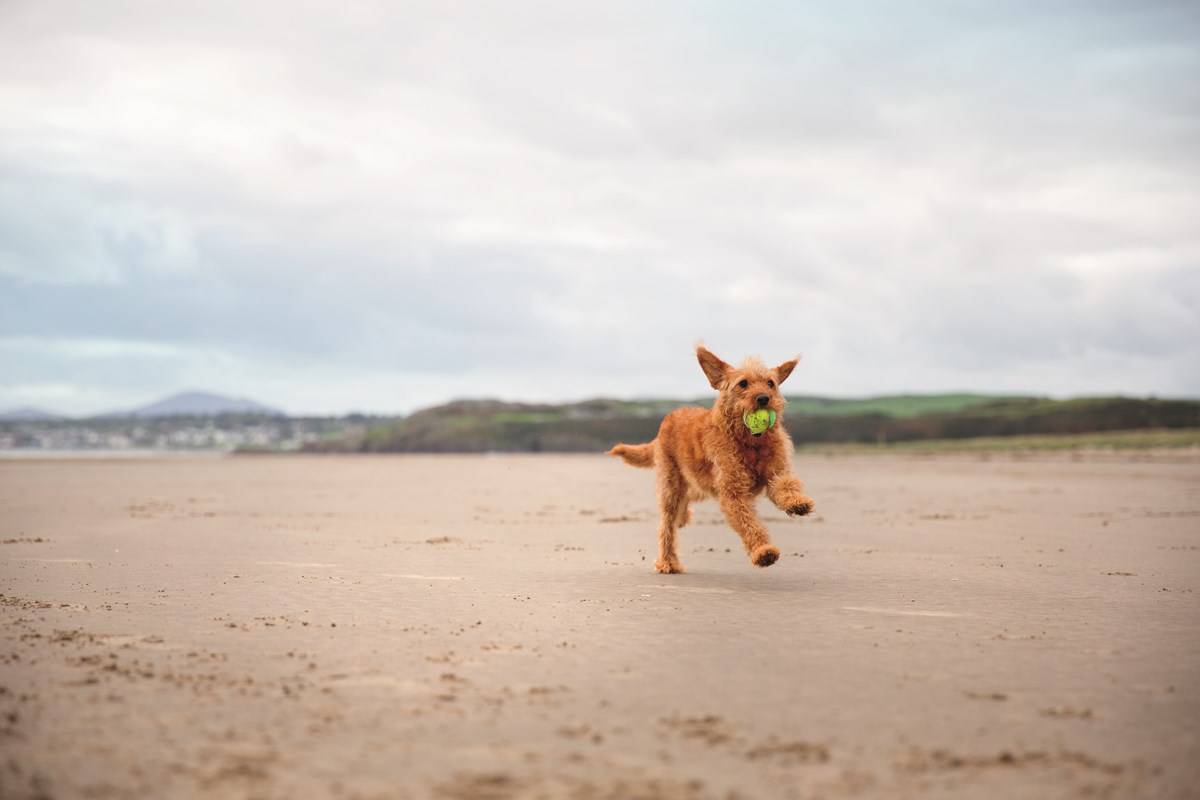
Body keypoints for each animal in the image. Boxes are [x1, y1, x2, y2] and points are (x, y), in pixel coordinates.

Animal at [609, 345, 816, 575]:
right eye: (743, 383)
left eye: (771, 383)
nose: (764, 398)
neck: (749, 443)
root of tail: (667, 420)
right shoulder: (732, 491)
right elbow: (747, 521)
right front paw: (763, 551)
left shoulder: (776, 472)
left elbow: (786, 485)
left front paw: (798, 503)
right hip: (671, 485)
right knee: (666, 525)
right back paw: (667, 562)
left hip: (698, 483)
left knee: (685, 502)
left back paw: (684, 518)